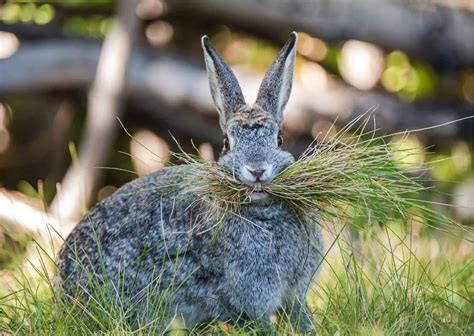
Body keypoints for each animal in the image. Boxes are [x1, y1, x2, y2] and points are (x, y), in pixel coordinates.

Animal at [55, 32, 322, 334]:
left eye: (279, 139)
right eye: (227, 143)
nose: (256, 170)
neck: (263, 210)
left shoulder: (294, 293)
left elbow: (300, 316)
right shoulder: (246, 297)